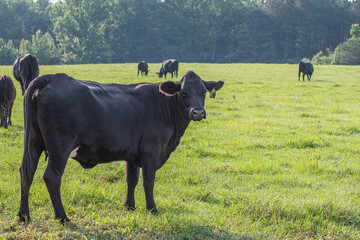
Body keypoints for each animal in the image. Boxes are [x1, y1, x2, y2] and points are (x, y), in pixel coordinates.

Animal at [18, 70, 224, 222]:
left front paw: (129, 206)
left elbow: (131, 179)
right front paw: (152, 209)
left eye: (203, 92)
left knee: (26, 172)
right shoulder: (151, 151)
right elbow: (148, 181)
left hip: (33, 142)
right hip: (60, 148)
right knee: (52, 177)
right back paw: (62, 217)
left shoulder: (132, 154)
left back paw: (24, 215)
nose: (198, 112)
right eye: (183, 92)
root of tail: (52, 77)